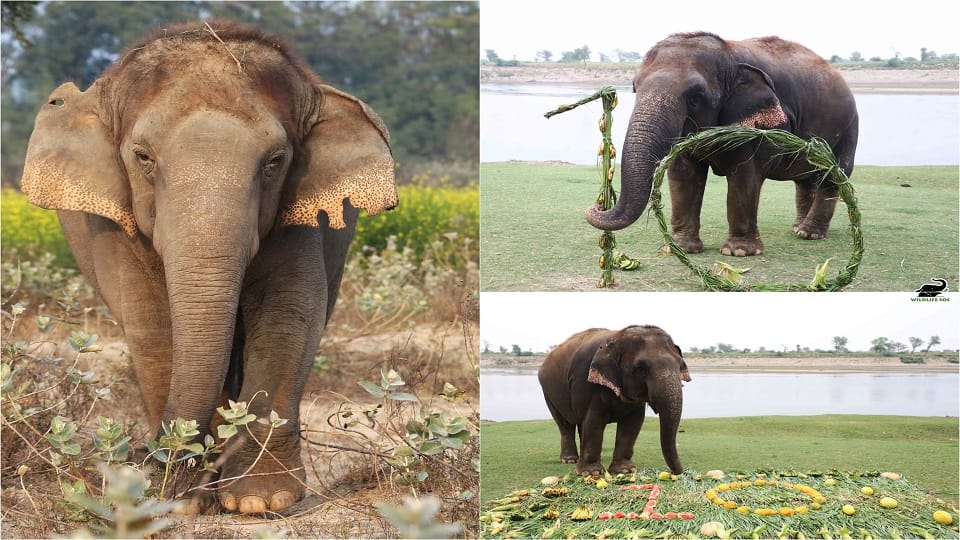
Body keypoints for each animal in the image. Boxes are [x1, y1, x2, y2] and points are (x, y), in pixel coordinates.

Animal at [19, 22, 397, 514]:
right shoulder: (116, 227)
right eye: (143, 157)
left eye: (274, 162)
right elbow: (151, 322)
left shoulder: (298, 216)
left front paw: (259, 501)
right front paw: (182, 500)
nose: (149, 465)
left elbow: (287, 315)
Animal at [537, 325, 690, 477]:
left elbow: (632, 424)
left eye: (680, 365)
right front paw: (591, 473)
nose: (674, 472)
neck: (617, 336)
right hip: (549, 393)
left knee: (581, 424)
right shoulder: (585, 380)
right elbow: (594, 421)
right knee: (565, 424)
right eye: (641, 369)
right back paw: (570, 460)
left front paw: (625, 470)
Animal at [586, 32, 859, 257]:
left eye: (696, 97)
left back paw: (810, 234)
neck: (729, 53)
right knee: (806, 179)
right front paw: (679, 248)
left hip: (848, 130)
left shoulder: (754, 126)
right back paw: (798, 228)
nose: (597, 206)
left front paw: (738, 252)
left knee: (832, 177)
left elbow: (744, 177)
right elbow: (684, 174)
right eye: (634, 87)